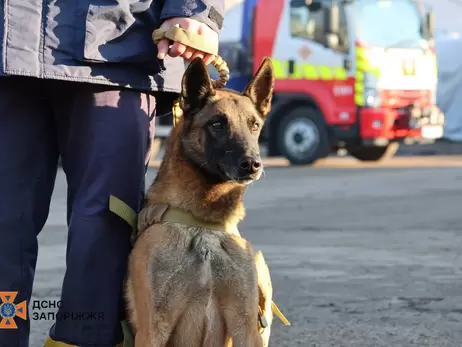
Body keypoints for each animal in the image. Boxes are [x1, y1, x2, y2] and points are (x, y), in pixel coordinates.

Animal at [124, 55, 274, 346]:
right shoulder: (153, 330)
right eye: (217, 124)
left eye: (254, 125)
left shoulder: (246, 327)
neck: (203, 225)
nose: (253, 164)